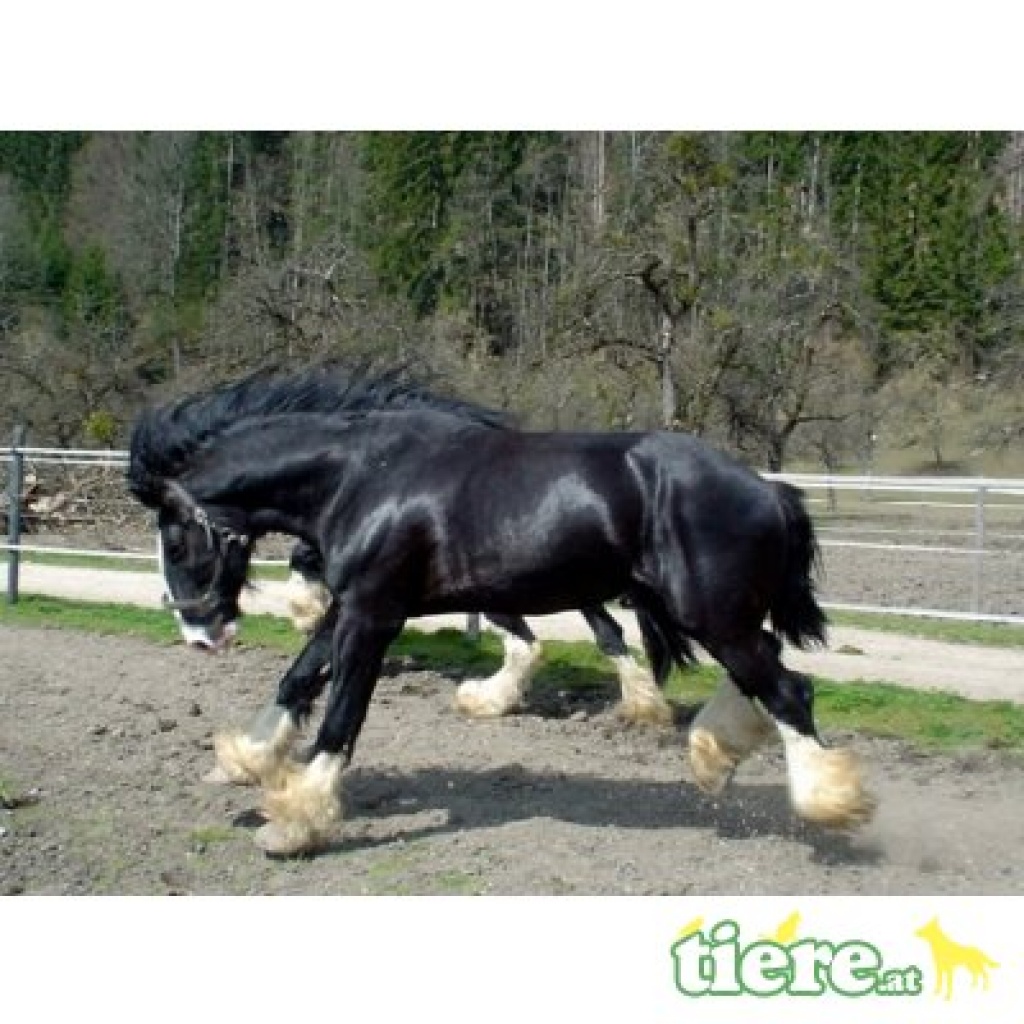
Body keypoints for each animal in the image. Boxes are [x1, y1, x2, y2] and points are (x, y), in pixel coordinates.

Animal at [129, 363, 876, 855]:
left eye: (175, 536)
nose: (198, 631)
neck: (363, 475)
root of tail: (769, 489)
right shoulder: (355, 605)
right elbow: (297, 680)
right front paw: (245, 759)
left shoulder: (374, 612)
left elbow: (341, 714)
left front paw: (295, 820)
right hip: (714, 615)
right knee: (765, 677)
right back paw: (715, 757)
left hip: (711, 615)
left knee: (789, 690)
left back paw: (827, 804)